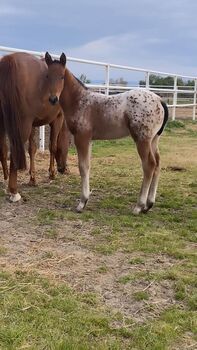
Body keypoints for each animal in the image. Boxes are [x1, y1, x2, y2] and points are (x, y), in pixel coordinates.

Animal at [0, 50, 67, 201]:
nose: (64, 169)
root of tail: (9, 60)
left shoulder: (33, 124)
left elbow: (32, 149)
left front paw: (32, 178)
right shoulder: (57, 119)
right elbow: (53, 146)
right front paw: (51, 173)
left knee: (3, 150)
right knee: (14, 152)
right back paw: (14, 191)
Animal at [58, 59, 168, 213]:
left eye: (61, 77)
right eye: (47, 75)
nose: (51, 98)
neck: (80, 101)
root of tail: (159, 100)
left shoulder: (82, 138)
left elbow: (83, 167)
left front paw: (82, 203)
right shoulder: (89, 140)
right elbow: (88, 166)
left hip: (142, 140)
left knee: (149, 165)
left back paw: (139, 206)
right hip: (153, 140)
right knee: (157, 164)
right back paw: (149, 204)